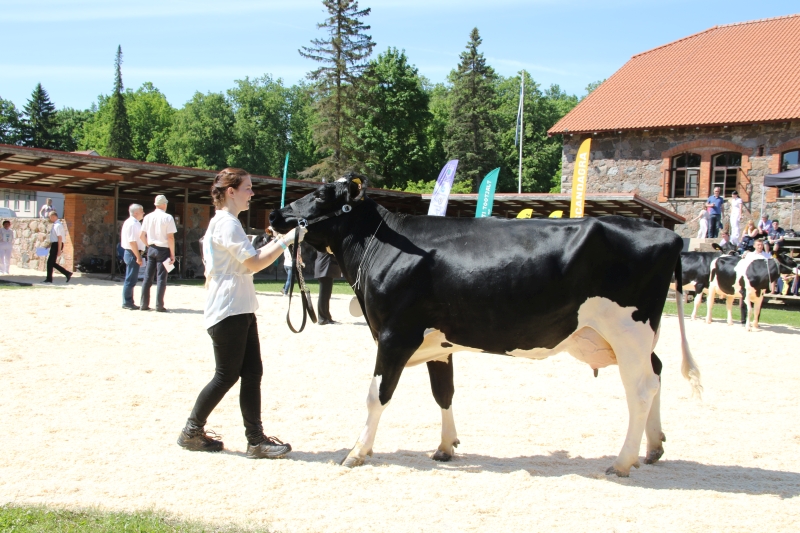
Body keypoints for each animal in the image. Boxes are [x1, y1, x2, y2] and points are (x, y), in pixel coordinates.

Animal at [270, 174, 702, 477]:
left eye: (322, 195)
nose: (275, 215)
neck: (381, 246)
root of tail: (662, 232)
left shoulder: (394, 335)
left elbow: (377, 395)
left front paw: (355, 452)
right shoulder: (438, 344)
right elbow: (443, 393)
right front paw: (445, 447)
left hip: (629, 331)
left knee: (641, 388)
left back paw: (623, 461)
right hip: (634, 338)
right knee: (657, 373)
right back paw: (653, 447)